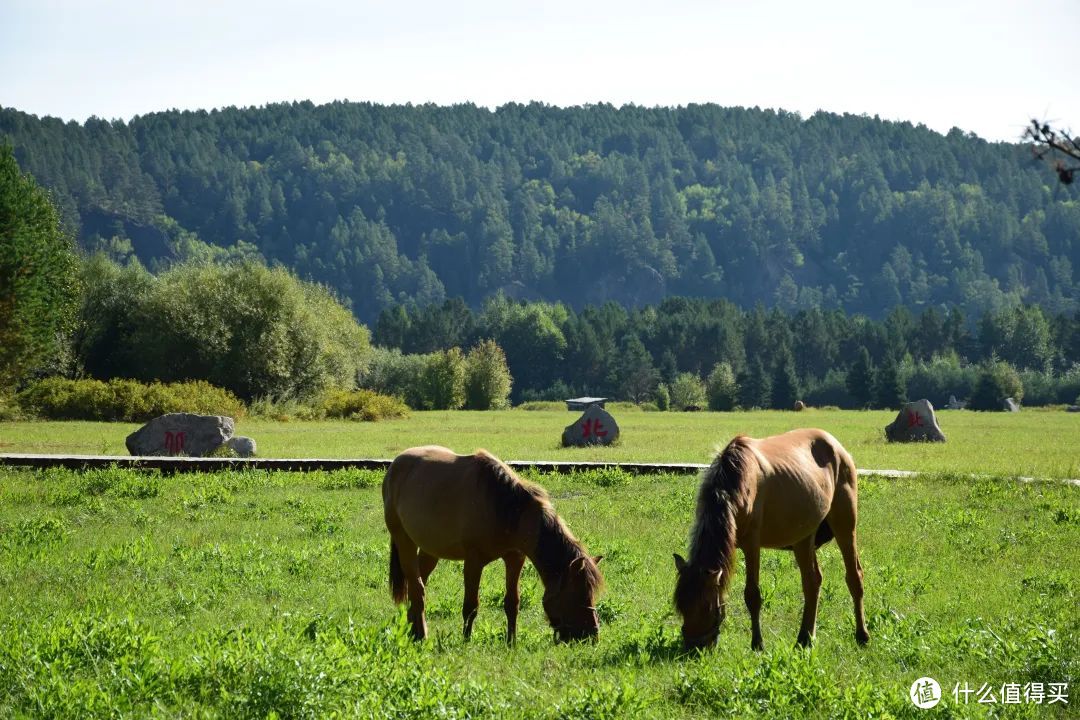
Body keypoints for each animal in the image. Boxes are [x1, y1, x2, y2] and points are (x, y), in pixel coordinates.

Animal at [382, 446, 604, 643]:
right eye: (577, 594)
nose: (591, 636)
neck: (506, 509)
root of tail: (396, 465)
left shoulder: (515, 558)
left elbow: (512, 603)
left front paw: (511, 642)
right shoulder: (473, 562)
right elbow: (471, 606)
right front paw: (466, 641)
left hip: (431, 549)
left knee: (417, 585)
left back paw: (413, 628)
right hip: (404, 540)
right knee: (417, 587)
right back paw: (420, 635)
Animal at [673, 427, 868, 651]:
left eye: (706, 606)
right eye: (681, 606)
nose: (692, 647)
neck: (735, 483)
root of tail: (836, 445)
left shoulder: (752, 545)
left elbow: (752, 595)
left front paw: (757, 643)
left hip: (845, 525)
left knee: (854, 577)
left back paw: (862, 635)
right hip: (803, 536)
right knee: (812, 581)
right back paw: (805, 637)